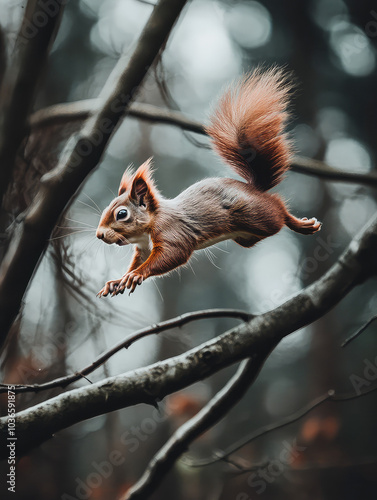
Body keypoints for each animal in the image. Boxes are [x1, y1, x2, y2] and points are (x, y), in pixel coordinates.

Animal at [96, 68, 320, 298]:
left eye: (122, 214)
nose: (99, 235)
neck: (150, 224)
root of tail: (253, 187)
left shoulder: (172, 232)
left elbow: (172, 254)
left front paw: (136, 275)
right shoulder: (142, 249)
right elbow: (136, 262)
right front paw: (116, 281)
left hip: (258, 215)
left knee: (278, 209)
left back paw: (300, 223)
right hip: (247, 237)